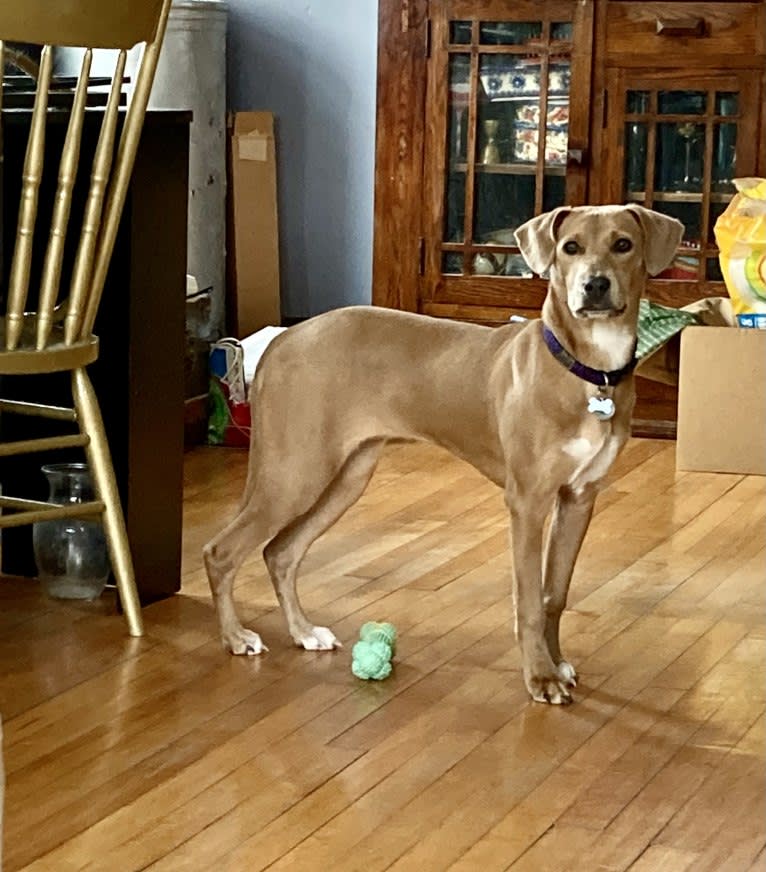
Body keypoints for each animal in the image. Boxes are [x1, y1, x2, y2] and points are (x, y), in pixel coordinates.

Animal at [204, 204, 684, 700]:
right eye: (570, 247)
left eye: (623, 244)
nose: (595, 285)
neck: (587, 370)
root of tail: (286, 337)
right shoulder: (528, 502)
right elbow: (530, 600)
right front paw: (540, 676)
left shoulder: (578, 498)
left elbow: (555, 594)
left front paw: (557, 663)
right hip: (294, 473)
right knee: (222, 551)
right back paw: (236, 638)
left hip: (345, 478)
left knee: (280, 552)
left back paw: (303, 632)